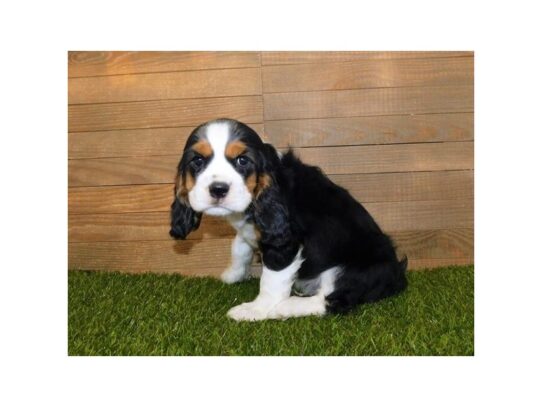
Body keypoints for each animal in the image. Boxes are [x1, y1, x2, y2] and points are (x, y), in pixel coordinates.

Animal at [170, 118, 408, 322]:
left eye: (242, 160)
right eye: (198, 160)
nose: (218, 189)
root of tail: (398, 275)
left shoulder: (283, 242)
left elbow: (270, 280)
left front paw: (256, 310)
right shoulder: (250, 230)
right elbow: (238, 246)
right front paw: (233, 274)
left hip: (352, 271)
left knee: (335, 301)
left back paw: (287, 306)